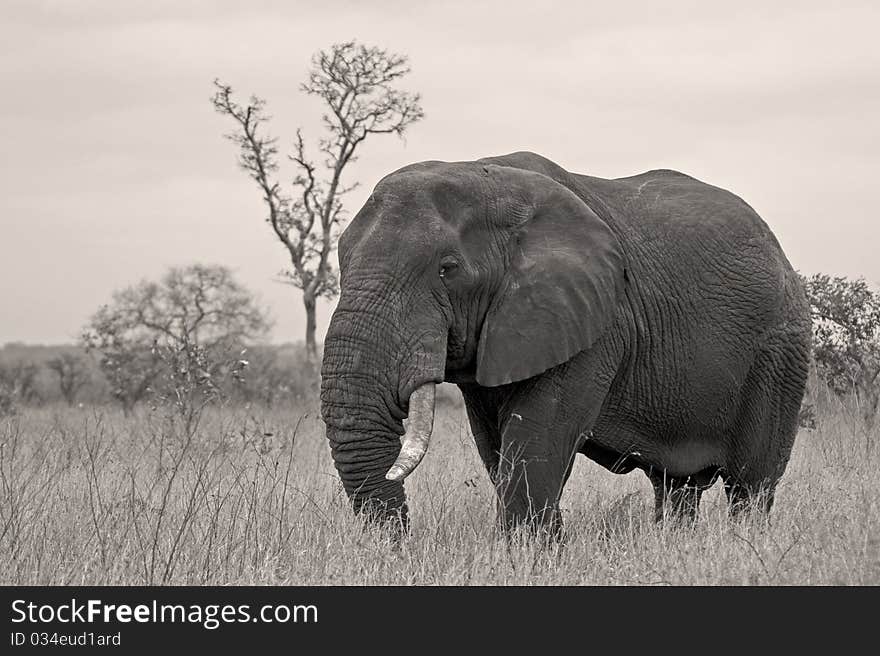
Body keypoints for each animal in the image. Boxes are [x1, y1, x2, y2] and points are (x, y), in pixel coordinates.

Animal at [318, 151, 812, 536]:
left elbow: (538, 437)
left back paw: (744, 546)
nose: (403, 544)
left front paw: (532, 554)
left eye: (448, 268)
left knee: (752, 483)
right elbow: (498, 446)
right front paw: (546, 546)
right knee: (676, 485)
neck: (486, 175)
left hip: (781, 353)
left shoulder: (594, 320)